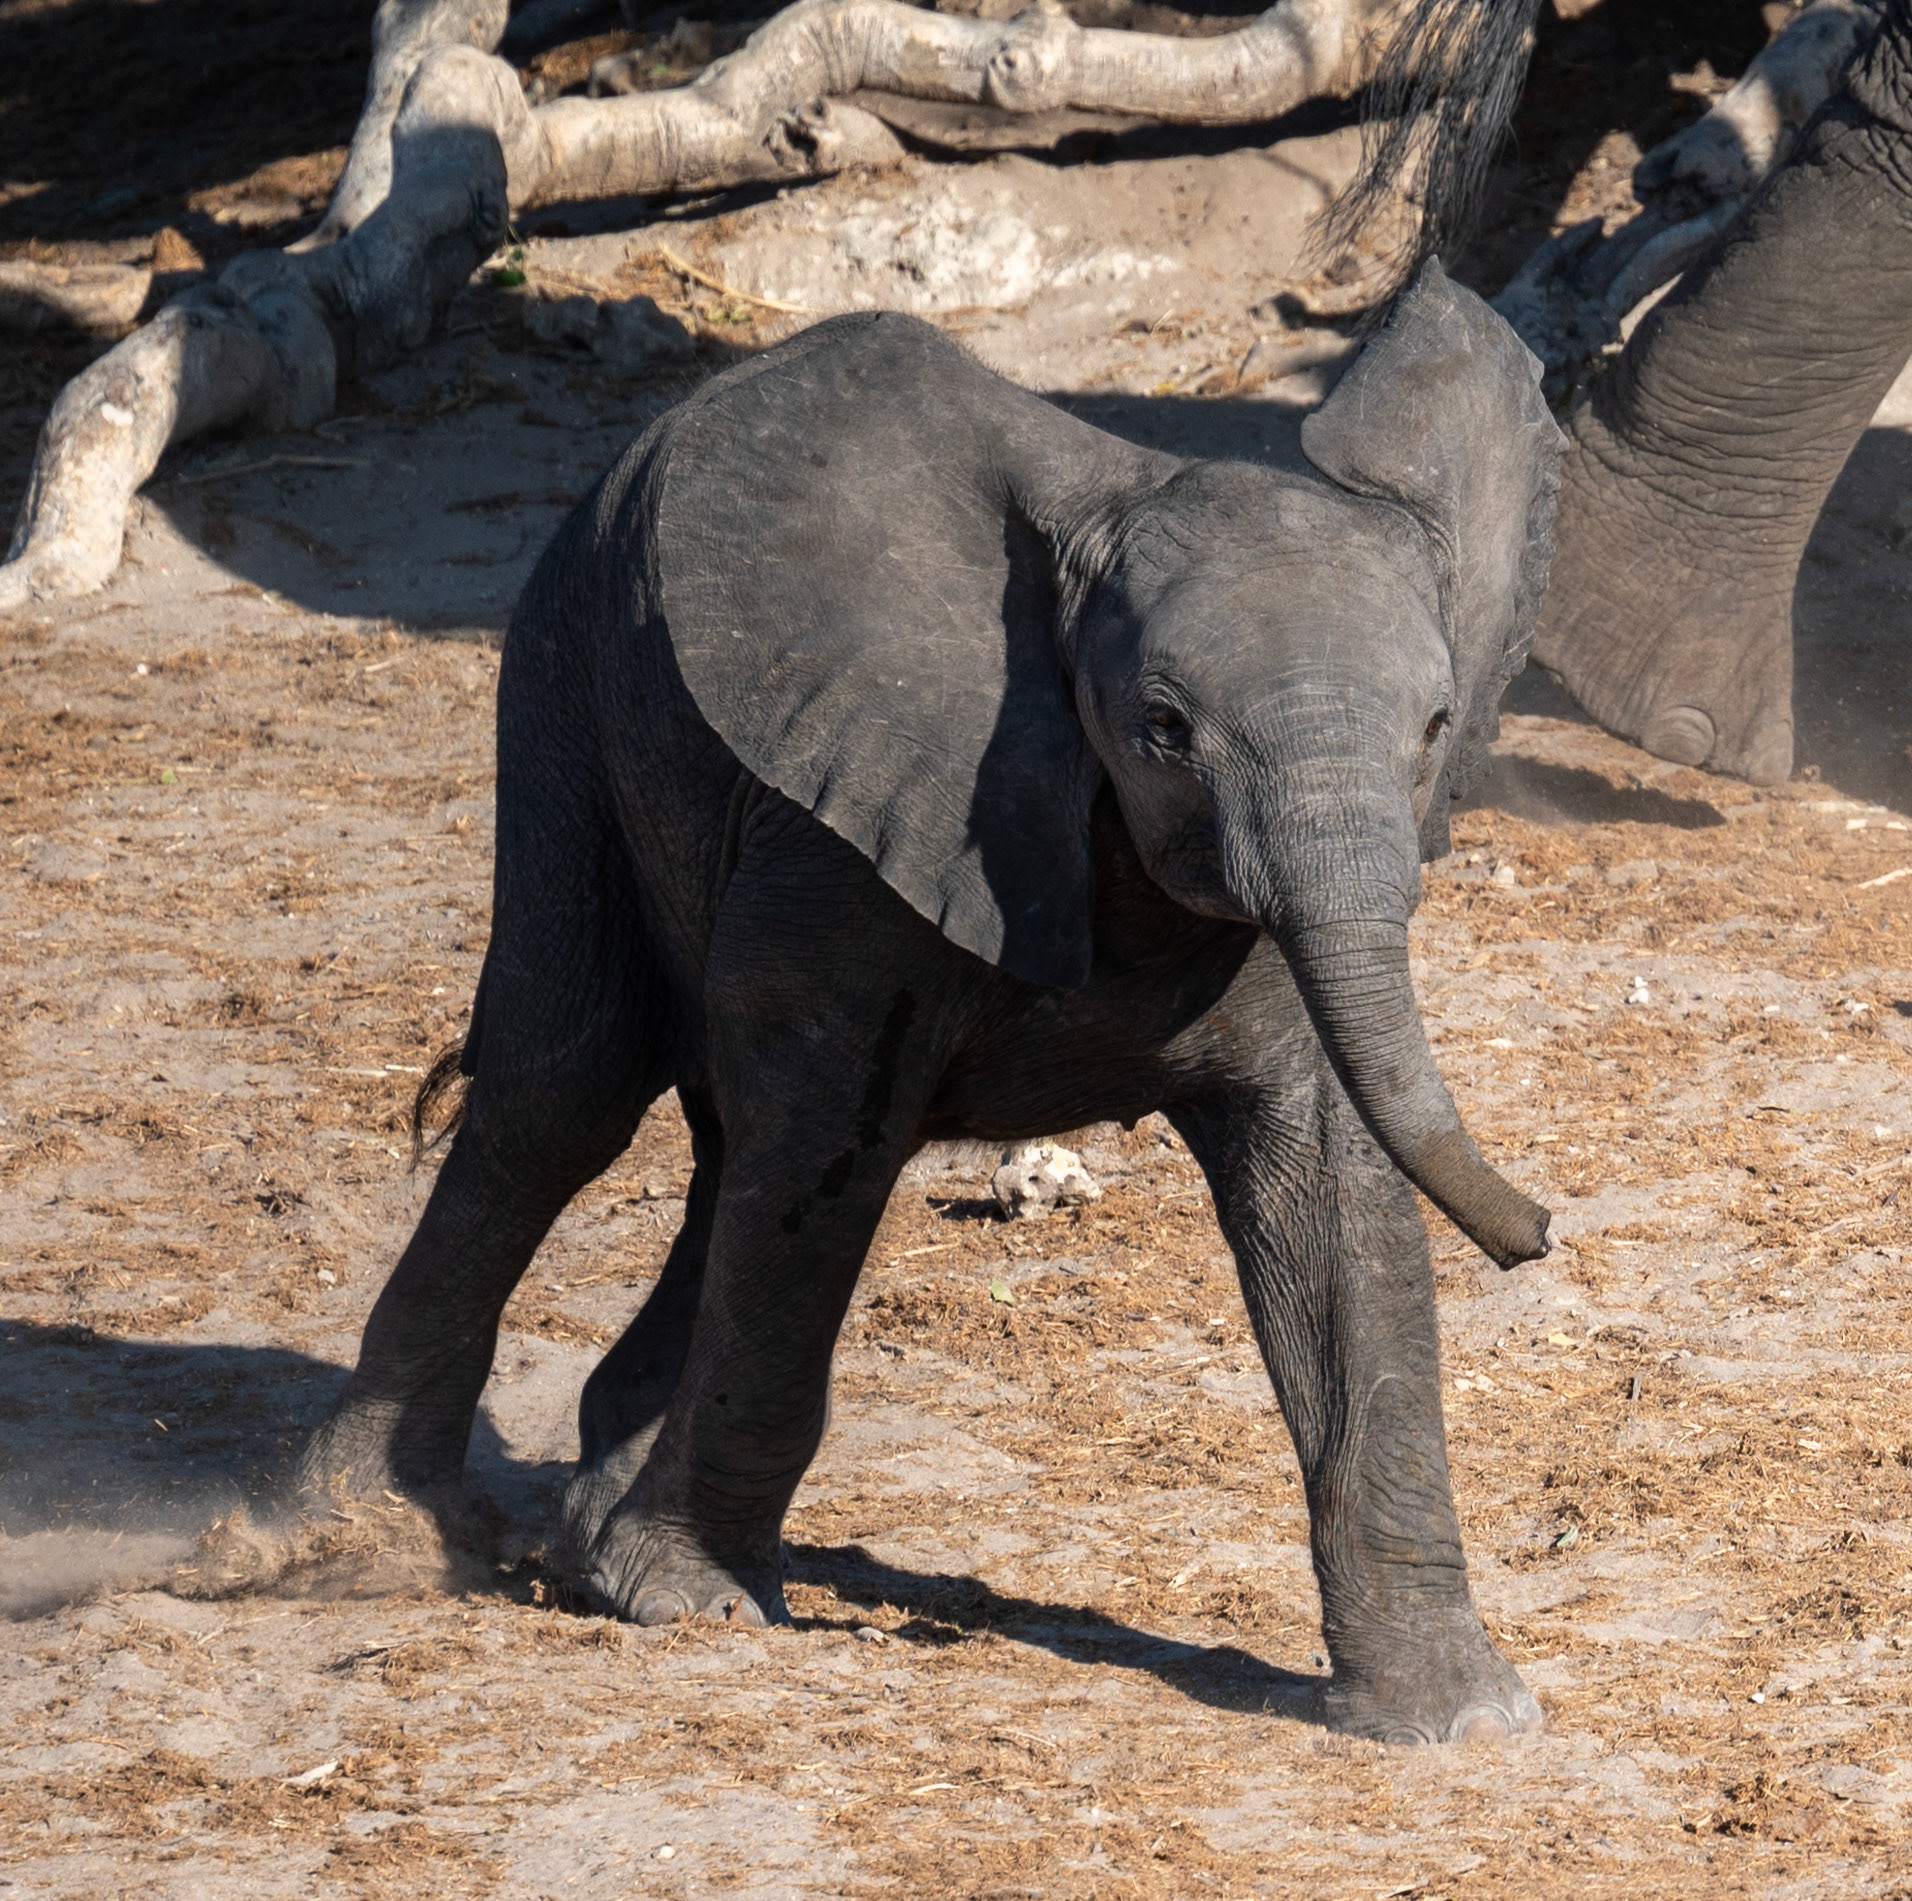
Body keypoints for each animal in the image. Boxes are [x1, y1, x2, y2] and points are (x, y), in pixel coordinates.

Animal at [299, 261, 1560, 1745]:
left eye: (1435, 728)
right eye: (1163, 729)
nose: (1542, 1234)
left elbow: (1336, 1198)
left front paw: (1458, 1717)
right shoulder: (859, 819)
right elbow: (821, 1154)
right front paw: (683, 1601)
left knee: (713, 1146)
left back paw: (583, 1520)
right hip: (565, 672)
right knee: (566, 1098)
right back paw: (355, 1535)